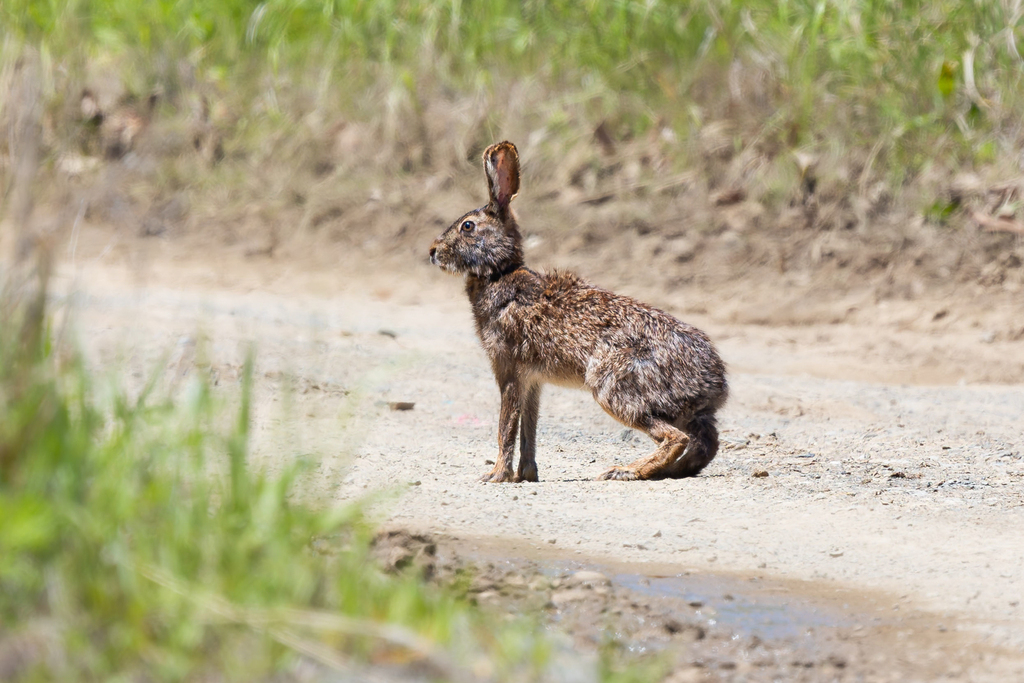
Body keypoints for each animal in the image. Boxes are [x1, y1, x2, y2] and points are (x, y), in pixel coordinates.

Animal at [429, 141, 728, 482]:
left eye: (467, 226)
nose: (433, 252)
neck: (499, 273)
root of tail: (715, 381)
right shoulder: (532, 382)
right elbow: (528, 428)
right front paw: (525, 476)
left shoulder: (509, 370)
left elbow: (506, 426)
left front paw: (495, 476)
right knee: (706, 442)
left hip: (614, 387)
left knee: (675, 438)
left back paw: (623, 471)